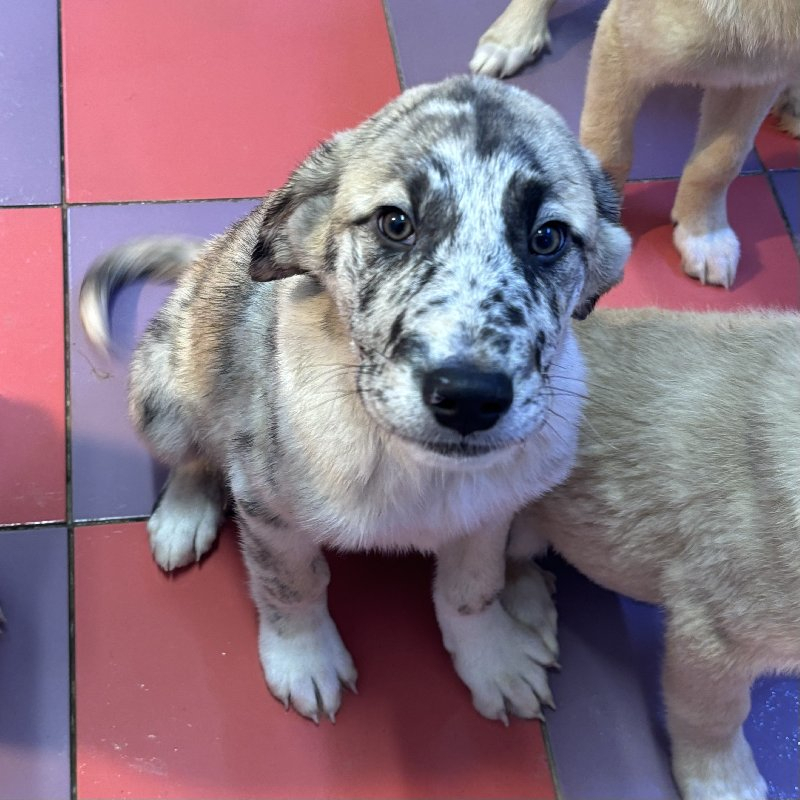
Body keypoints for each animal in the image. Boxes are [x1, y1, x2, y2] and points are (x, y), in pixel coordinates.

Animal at [79, 75, 631, 724]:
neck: (412, 467)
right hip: (167, 396)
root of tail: (200, 261)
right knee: (195, 451)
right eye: (395, 223)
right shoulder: (268, 511)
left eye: (547, 238)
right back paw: (185, 513)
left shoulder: (487, 514)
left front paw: (492, 660)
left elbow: (472, 592)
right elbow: (291, 586)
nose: (469, 398)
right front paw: (303, 660)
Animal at [471, 0, 800, 289]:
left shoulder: (755, 76)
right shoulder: (622, 45)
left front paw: (704, 235)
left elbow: (718, 163)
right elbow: (609, 150)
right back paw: (513, 36)